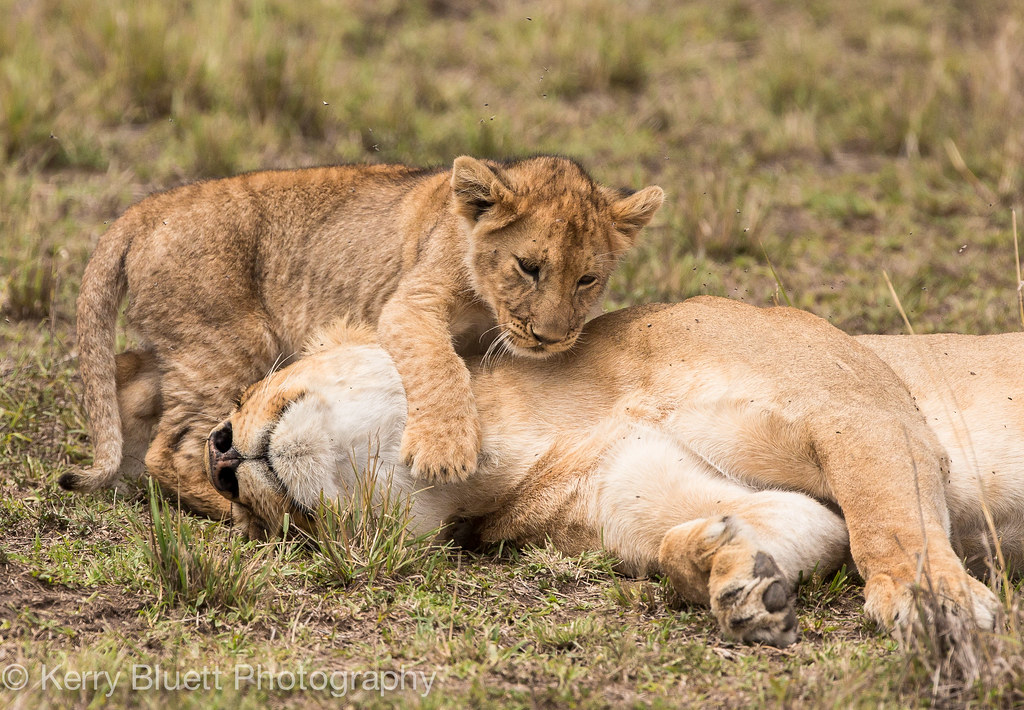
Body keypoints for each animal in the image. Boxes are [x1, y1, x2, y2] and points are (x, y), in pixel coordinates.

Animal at [61, 156, 664, 518]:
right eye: (529, 267)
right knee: (173, 448)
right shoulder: (409, 304)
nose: (550, 337)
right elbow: (440, 366)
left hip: (184, 343)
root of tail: (144, 210)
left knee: (126, 381)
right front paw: (445, 454)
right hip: (228, 343)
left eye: (587, 279)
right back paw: (242, 511)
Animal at [191, 297, 1017, 646]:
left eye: (251, 387)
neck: (512, 442)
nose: (219, 452)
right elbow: (737, 534)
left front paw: (931, 601)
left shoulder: (863, 405)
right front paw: (738, 579)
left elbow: (891, 522)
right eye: (275, 530)